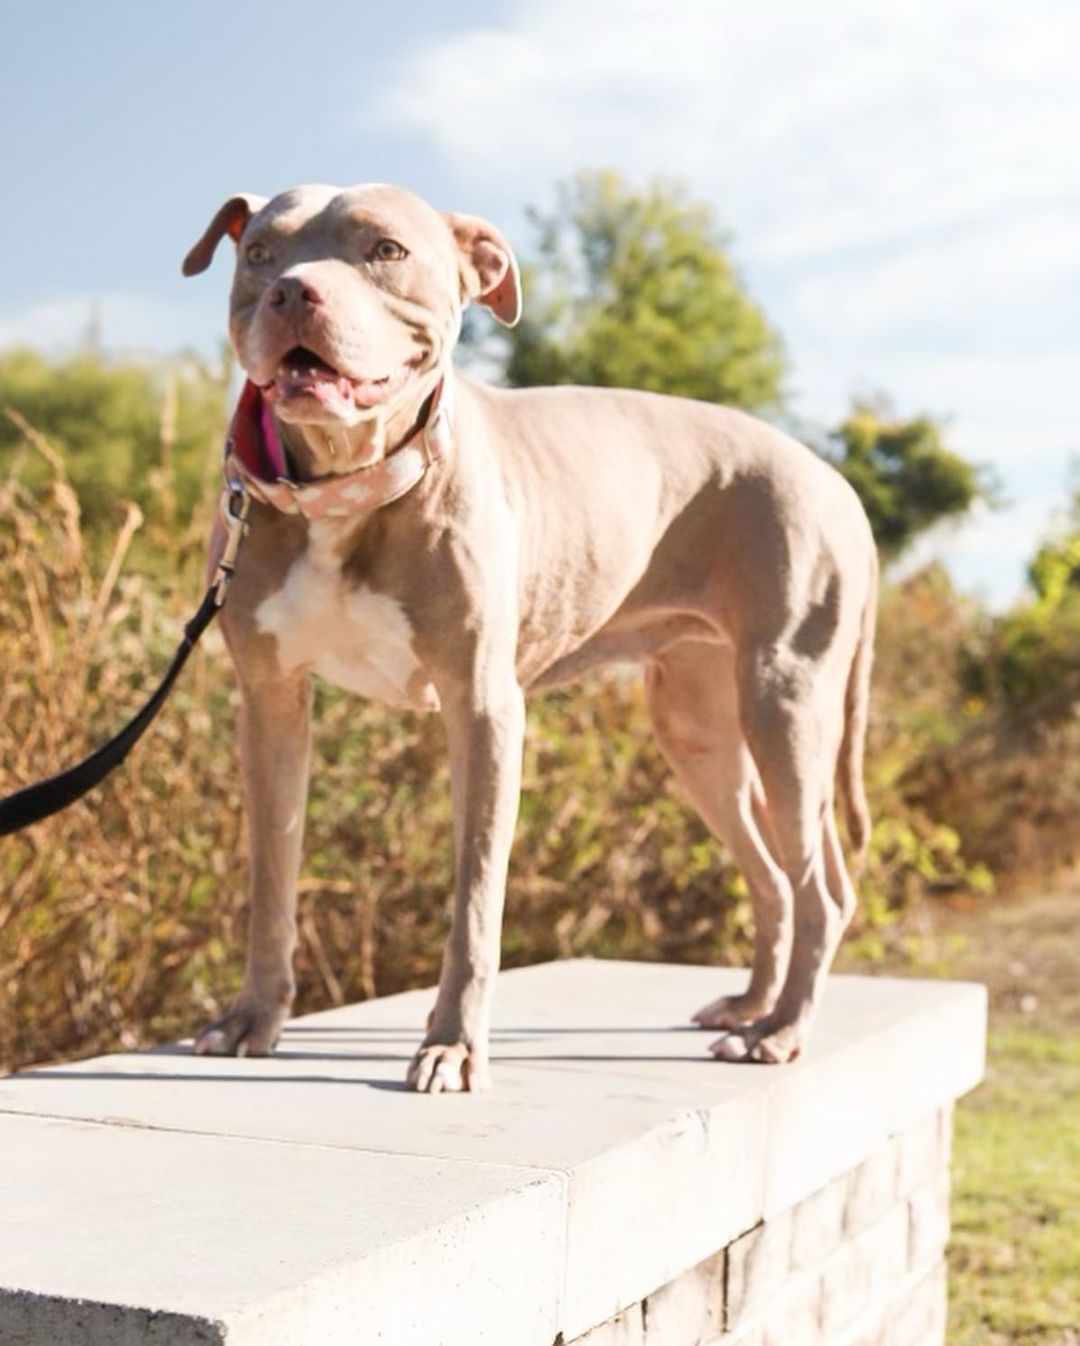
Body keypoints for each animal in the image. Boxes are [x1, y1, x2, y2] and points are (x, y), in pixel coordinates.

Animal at [183, 184, 872, 1092]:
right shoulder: (270, 705)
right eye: (260, 251)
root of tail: (835, 482)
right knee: (772, 874)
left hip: (785, 706)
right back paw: (752, 1006)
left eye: (386, 250)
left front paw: (451, 1044)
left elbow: (476, 897)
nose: (293, 291)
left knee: (820, 886)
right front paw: (252, 1019)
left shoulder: (482, 709)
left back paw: (782, 1030)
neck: (348, 485)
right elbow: (272, 877)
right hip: (700, 730)